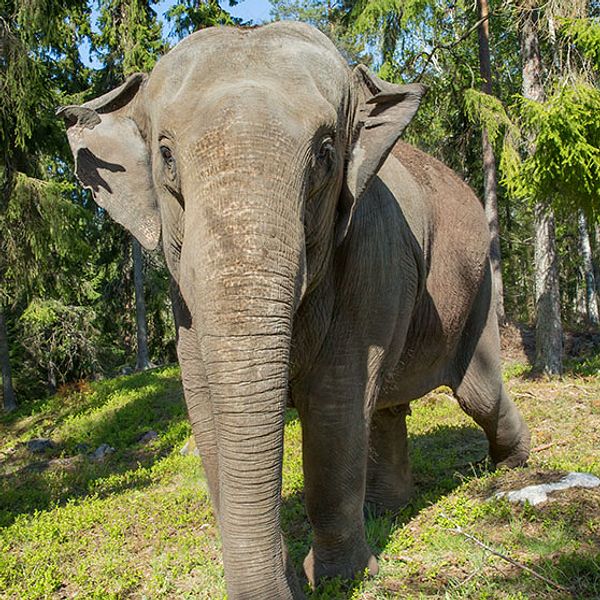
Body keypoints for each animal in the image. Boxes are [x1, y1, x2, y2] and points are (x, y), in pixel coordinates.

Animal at [57, 21, 528, 596]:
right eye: (165, 155)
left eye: (325, 153)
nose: (287, 579)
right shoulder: (185, 302)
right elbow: (207, 409)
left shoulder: (372, 251)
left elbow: (336, 401)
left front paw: (340, 577)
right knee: (390, 405)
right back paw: (389, 509)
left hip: (478, 284)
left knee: (477, 394)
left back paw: (514, 469)